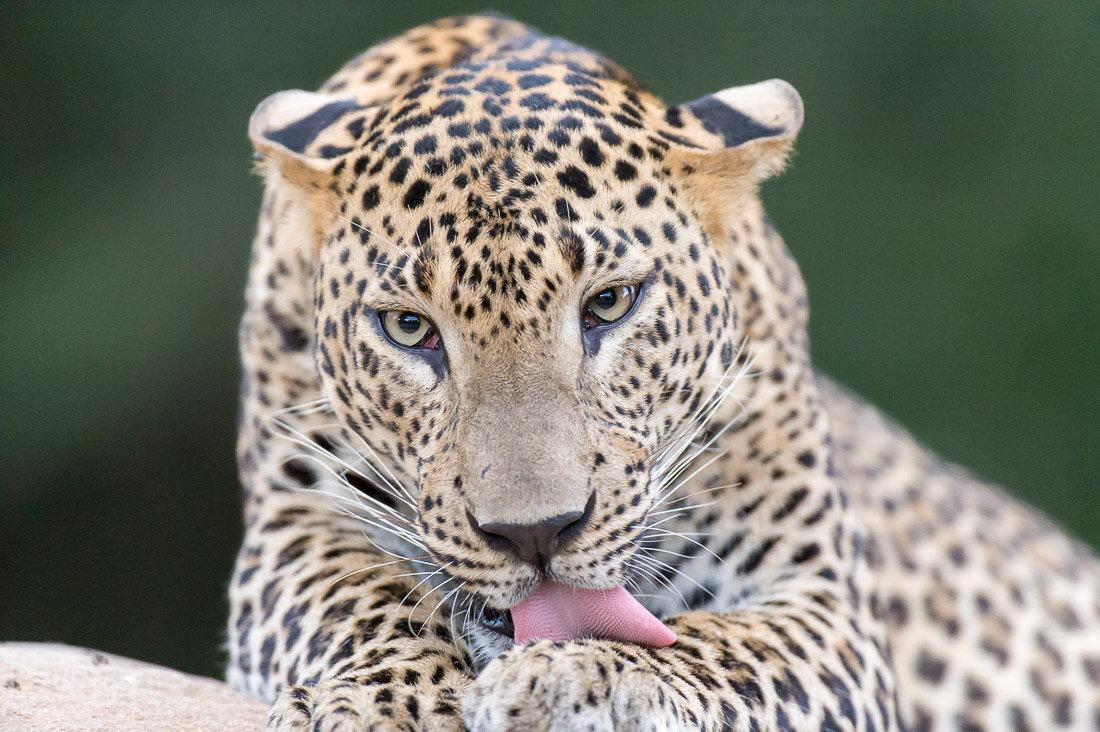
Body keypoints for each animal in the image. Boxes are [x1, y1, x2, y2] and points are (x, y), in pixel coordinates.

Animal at [225, 12, 1100, 730]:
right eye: (409, 328)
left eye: (610, 304)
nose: (534, 535)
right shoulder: (293, 518)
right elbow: (356, 594)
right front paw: (387, 700)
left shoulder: (823, 606)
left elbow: (716, 647)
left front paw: (575, 676)